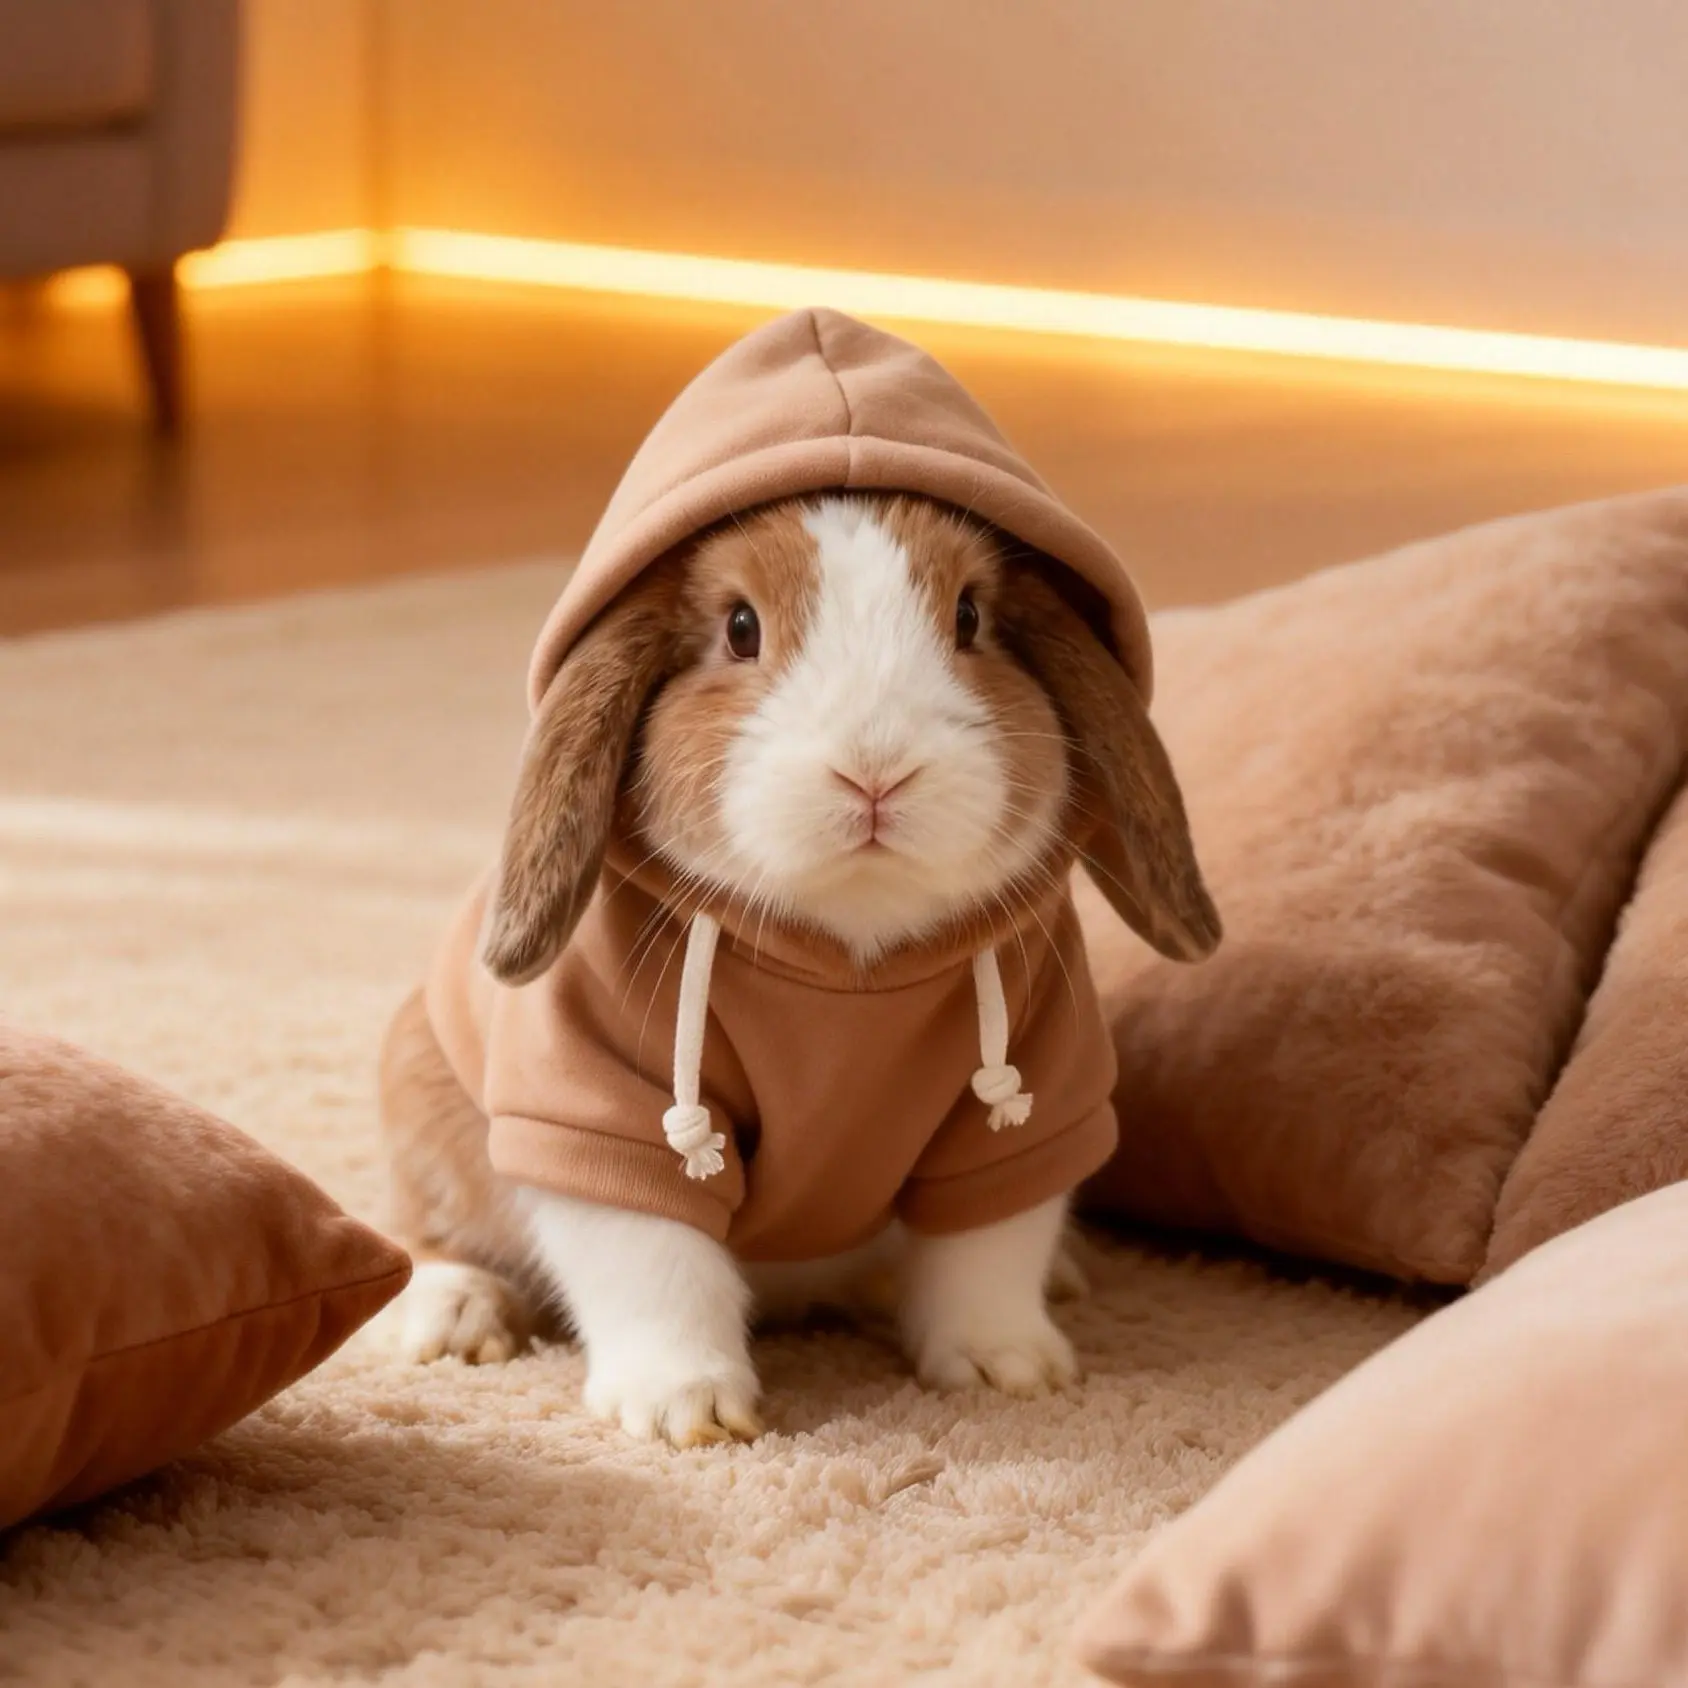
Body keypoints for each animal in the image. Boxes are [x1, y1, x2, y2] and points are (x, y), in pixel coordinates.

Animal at [380, 490, 1218, 1446]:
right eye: (741, 628)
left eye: (970, 617)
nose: (875, 770)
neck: (848, 962)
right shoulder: (602, 1112)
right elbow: (652, 1261)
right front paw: (684, 1409)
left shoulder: (1032, 1102)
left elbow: (990, 1247)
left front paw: (1008, 1369)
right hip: (423, 1105)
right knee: (423, 1232)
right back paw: (453, 1319)